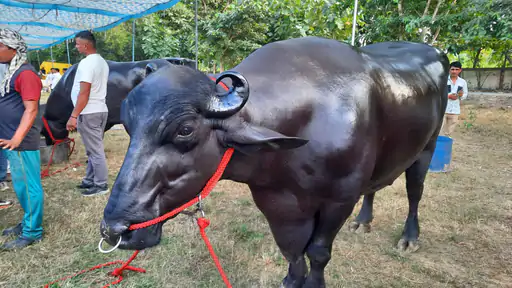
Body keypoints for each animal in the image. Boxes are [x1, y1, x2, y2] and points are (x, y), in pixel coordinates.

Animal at [99, 37, 448, 286]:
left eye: (185, 129)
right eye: (128, 125)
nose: (115, 230)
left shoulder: (339, 200)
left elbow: (318, 253)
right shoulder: (276, 201)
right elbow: (292, 252)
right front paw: (291, 280)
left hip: (427, 148)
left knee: (415, 191)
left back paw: (409, 237)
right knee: (374, 187)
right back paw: (363, 221)